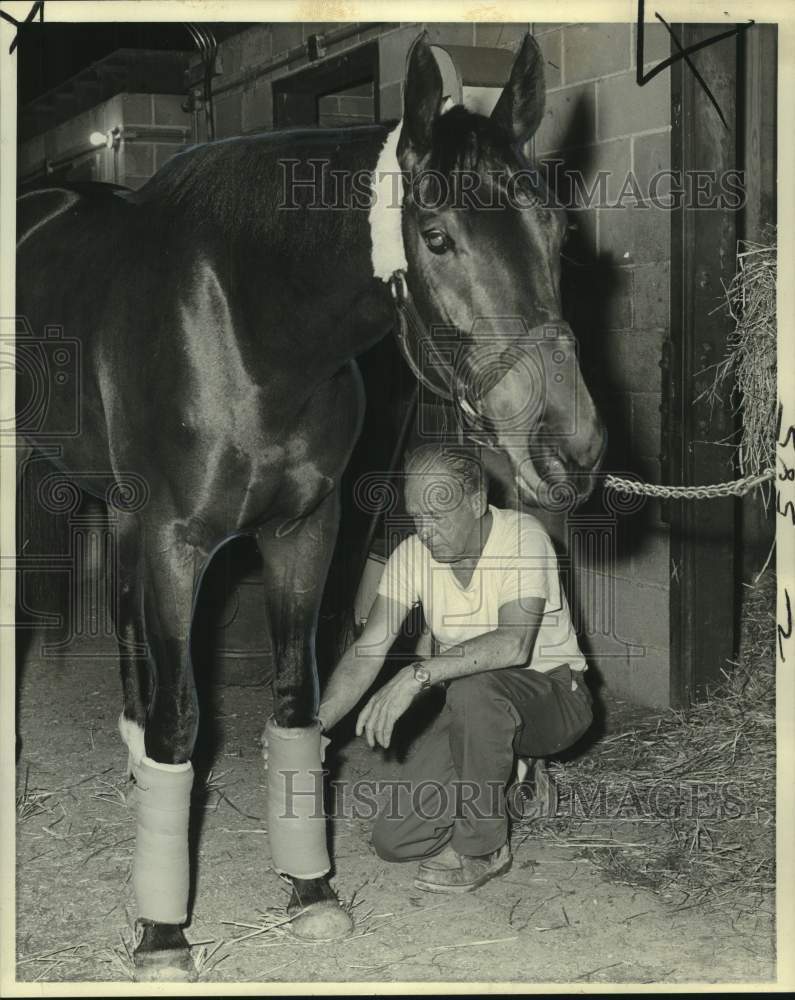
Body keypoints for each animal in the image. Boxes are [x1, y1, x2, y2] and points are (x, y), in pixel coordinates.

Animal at [15, 33, 608, 984]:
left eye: (554, 227)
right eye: (436, 237)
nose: (572, 449)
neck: (245, 328)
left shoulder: (302, 534)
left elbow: (296, 703)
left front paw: (310, 891)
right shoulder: (179, 542)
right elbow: (184, 722)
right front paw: (162, 935)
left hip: (124, 510)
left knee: (130, 630)